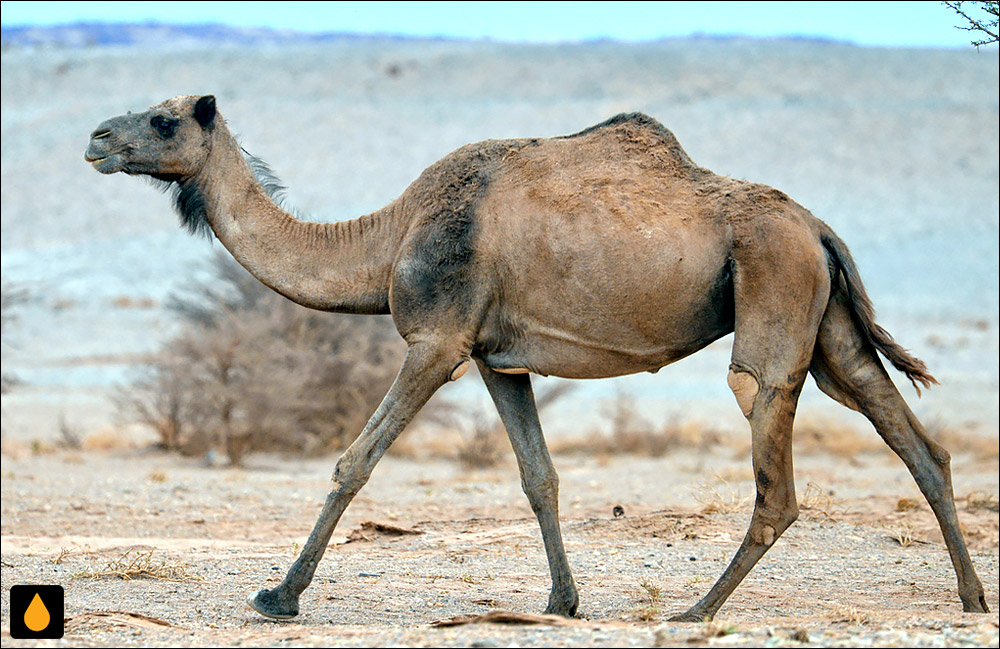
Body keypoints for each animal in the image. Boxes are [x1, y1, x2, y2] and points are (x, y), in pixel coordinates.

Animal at [86, 95, 992, 616]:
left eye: (164, 119)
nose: (95, 138)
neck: (385, 240)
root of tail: (818, 226)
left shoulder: (436, 339)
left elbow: (353, 460)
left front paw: (279, 594)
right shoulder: (499, 358)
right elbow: (539, 477)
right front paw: (561, 600)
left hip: (775, 294)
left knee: (774, 462)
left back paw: (696, 609)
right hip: (829, 323)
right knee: (913, 437)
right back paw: (972, 597)